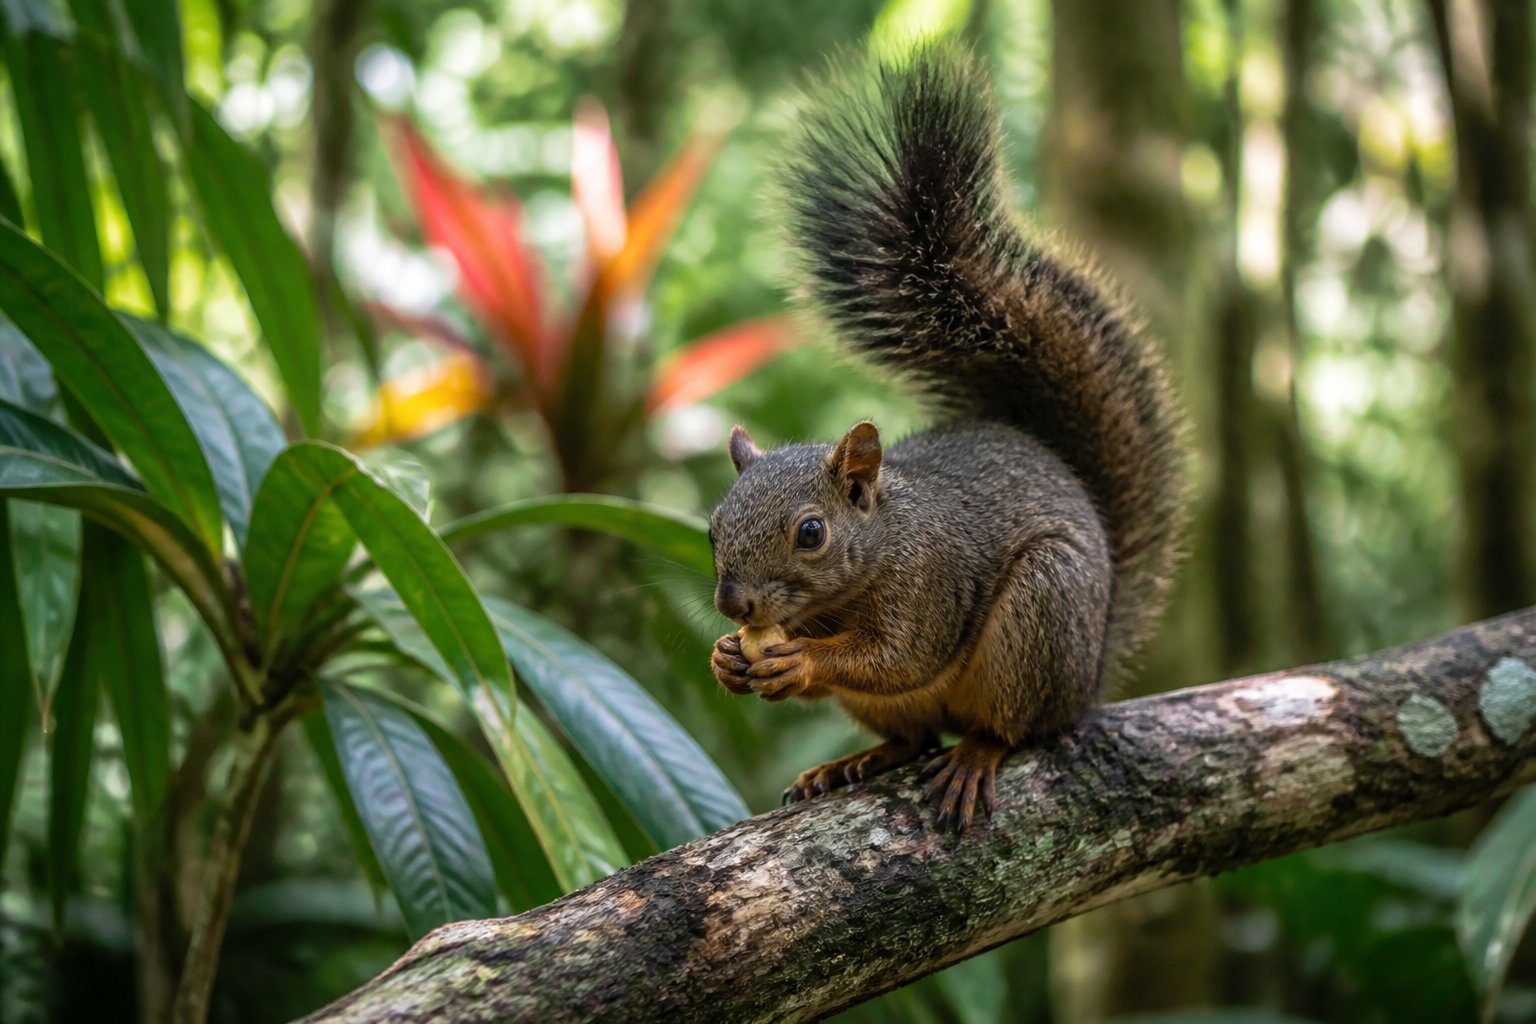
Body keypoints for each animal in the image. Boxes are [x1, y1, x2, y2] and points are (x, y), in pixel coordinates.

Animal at [708, 44, 1187, 832]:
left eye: (811, 533)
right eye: (712, 527)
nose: (734, 607)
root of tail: (1089, 677)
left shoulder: (931, 582)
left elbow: (899, 655)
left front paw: (801, 661)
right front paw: (726, 656)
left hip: (1041, 617)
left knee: (1008, 728)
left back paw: (974, 757)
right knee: (912, 736)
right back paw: (854, 762)